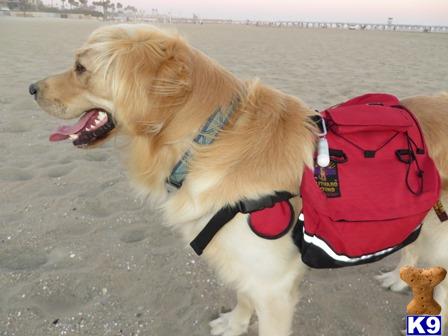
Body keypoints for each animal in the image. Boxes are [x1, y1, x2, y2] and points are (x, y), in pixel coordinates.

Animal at [29, 24, 448, 336]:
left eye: (80, 68)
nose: (31, 88)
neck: (204, 140)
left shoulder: (275, 286)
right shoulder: (243, 264)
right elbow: (243, 297)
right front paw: (235, 324)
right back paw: (401, 279)